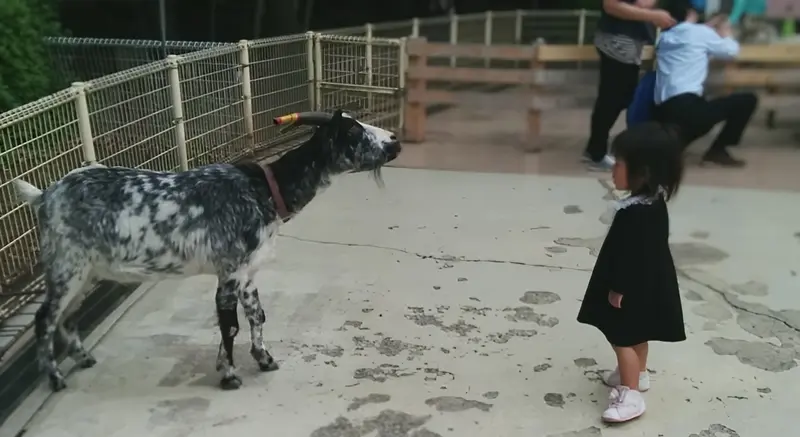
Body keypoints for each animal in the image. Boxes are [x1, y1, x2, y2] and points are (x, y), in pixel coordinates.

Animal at [12, 110, 400, 390]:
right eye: (354, 133)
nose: (394, 141)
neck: (263, 190)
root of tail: (44, 197)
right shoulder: (228, 271)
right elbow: (230, 326)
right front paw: (228, 376)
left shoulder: (246, 273)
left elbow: (257, 316)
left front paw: (264, 359)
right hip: (66, 265)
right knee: (45, 318)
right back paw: (55, 379)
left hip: (85, 271)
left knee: (67, 317)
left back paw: (83, 359)